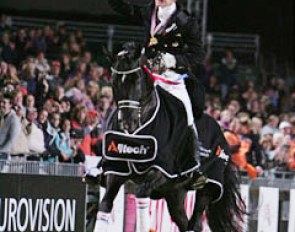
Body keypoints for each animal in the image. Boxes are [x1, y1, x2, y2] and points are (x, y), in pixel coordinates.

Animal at [94, 43, 245, 230]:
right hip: (174, 193)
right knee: (184, 222)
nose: (127, 123)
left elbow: (141, 199)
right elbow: (105, 204)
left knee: (195, 223)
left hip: (207, 188)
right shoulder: (116, 171)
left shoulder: (160, 171)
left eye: (136, 79)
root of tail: (223, 133)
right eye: (113, 81)